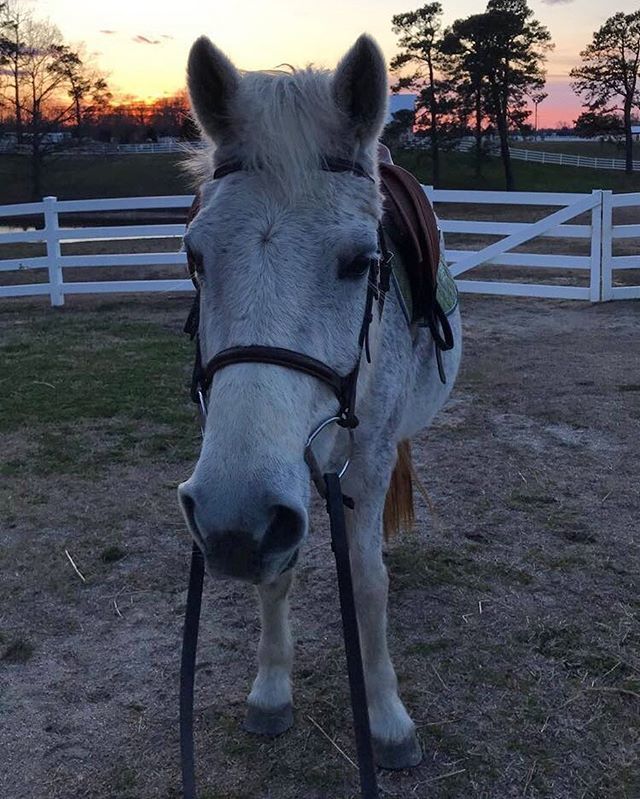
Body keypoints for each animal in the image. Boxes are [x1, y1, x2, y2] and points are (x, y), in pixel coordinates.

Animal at [178, 32, 462, 770]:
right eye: (195, 257)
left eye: (361, 262)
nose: (230, 523)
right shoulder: (270, 483)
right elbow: (276, 572)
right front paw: (271, 689)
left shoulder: (364, 456)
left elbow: (366, 581)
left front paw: (386, 718)